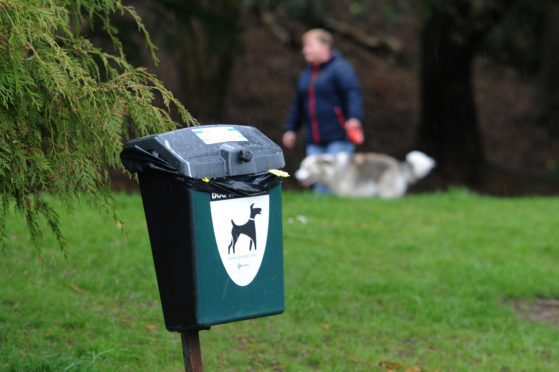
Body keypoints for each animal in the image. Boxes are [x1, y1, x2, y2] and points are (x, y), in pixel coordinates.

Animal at [296, 150, 436, 198]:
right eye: (301, 166)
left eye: (306, 168)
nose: (296, 176)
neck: (336, 170)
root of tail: (397, 164)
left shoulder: (347, 194)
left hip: (387, 191)